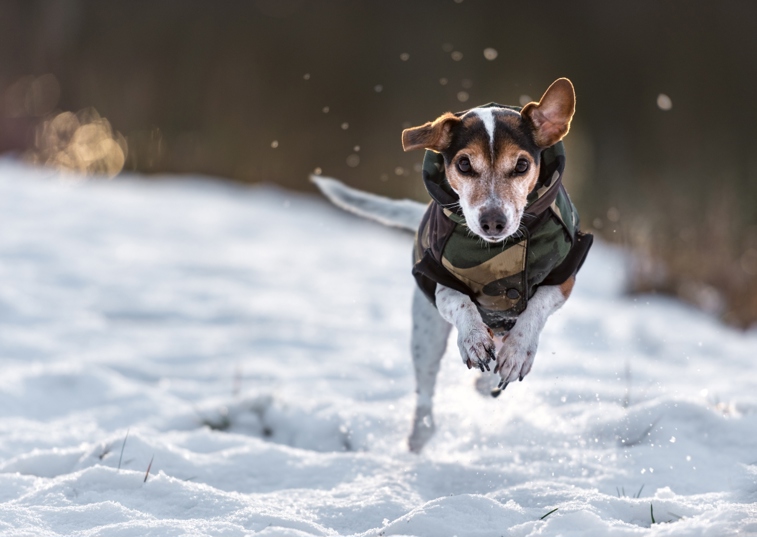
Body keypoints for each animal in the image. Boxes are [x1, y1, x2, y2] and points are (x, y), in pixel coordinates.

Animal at [314, 77, 592, 450]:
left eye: (521, 166)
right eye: (463, 165)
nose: (493, 222)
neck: (498, 252)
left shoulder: (564, 277)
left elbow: (536, 308)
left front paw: (518, 351)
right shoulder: (435, 278)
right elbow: (460, 302)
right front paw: (473, 338)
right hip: (426, 333)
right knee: (426, 392)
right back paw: (420, 435)